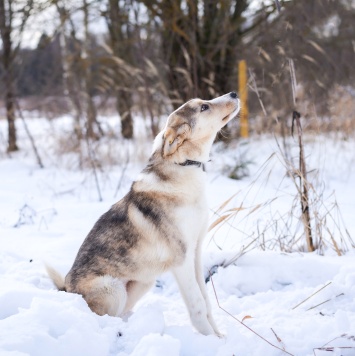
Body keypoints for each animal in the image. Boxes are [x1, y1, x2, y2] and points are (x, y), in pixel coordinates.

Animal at [47, 92, 241, 336]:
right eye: (204, 107)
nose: (234, 93)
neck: (184, 166)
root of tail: (66, 289)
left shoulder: (195, 253)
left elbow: (205, 300)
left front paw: (218, 337)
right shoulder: (182, 261)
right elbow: (197, 304)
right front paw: (208, 338)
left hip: (142, 283)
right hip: (113, 289)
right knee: (105, 319)